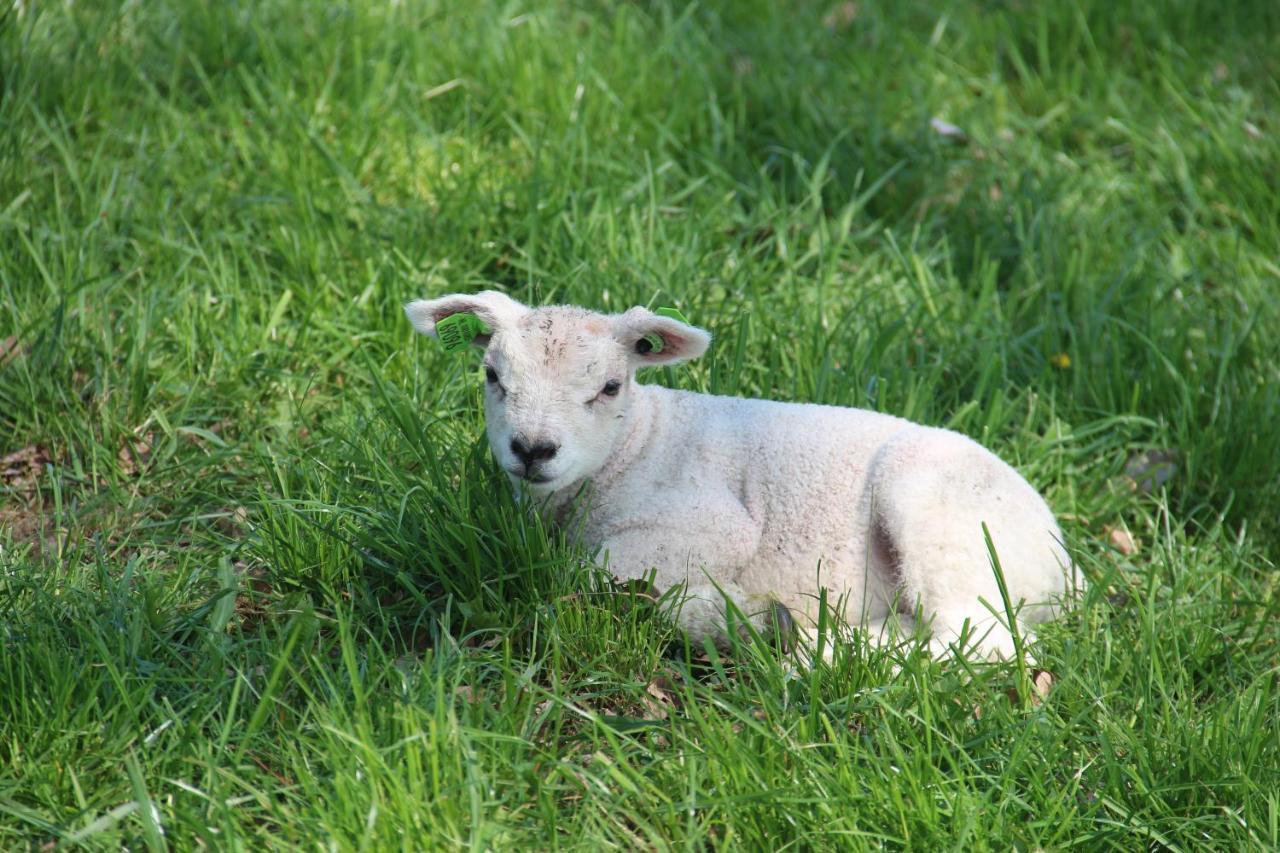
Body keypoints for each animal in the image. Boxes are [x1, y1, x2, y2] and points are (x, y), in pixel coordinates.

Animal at [404, 292, 1075, 655]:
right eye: (492, 376)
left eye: (610, 386)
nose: (533, 449)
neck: (638, 446)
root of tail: (1067, 570)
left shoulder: (712, 523)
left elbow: (585, 574)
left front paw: (719, 609)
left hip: (944, 518)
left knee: (982, 640)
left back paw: (817, 652)